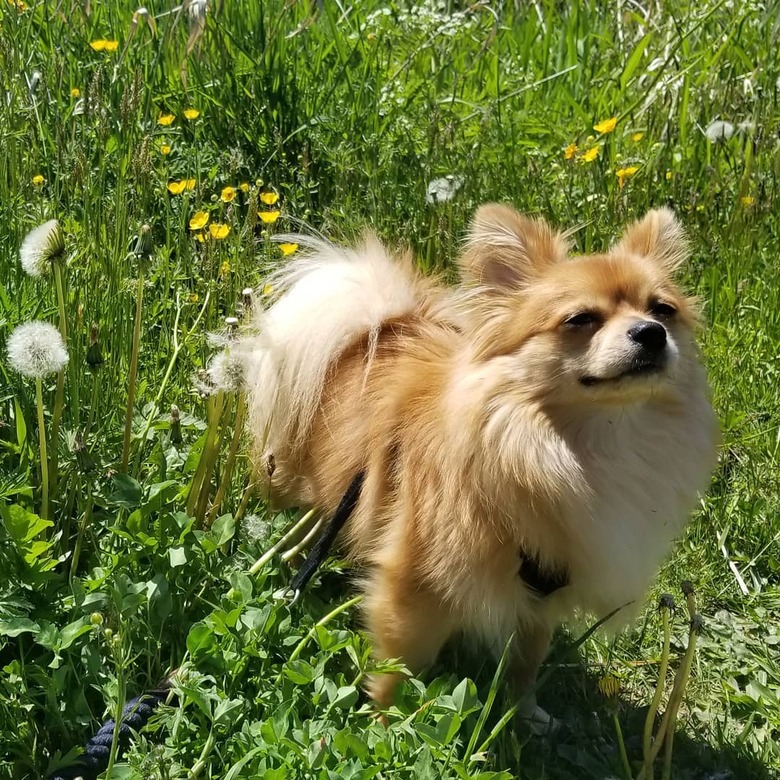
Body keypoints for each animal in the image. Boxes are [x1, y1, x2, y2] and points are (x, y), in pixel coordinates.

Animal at [242, 204, 720, 708]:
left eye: (663, 310)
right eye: (580, 319)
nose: (651, 332)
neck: (592, 445)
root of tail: (380, 329)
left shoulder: (546, 595)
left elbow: (528, 658)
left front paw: (523, 710)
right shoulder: (418, 587)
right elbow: (398, 671)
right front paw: (384, 720)